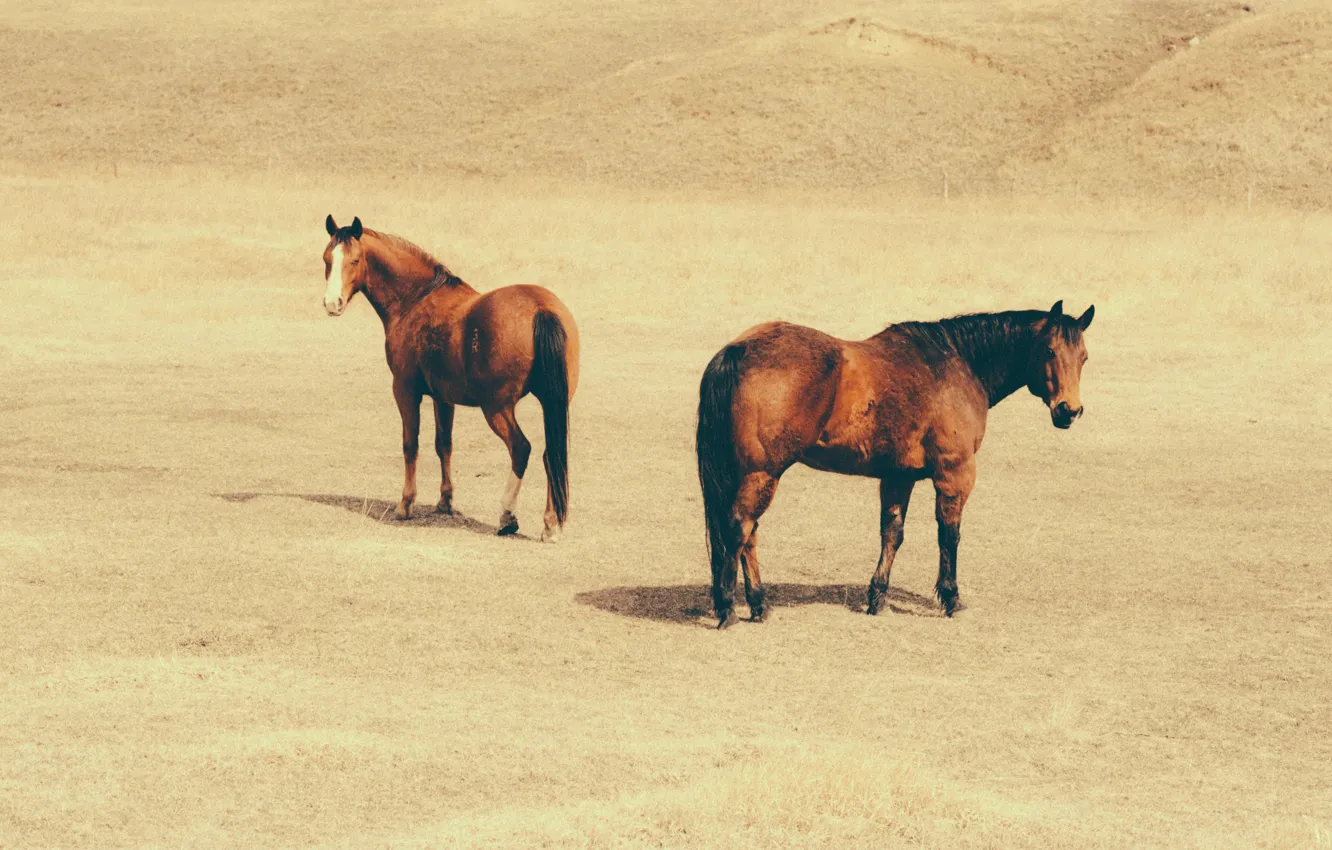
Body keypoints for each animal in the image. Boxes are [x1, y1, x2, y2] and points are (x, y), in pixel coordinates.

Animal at [321, 215, 579, 542]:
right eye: (327, 259)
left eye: (354, 260)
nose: (333, 303)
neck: (417, 299)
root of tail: (541, 308)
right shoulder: (443, 397)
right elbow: (444, 443)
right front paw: (445, 501)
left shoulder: (405, 390)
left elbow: (411, 444)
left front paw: (405, 504)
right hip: (552, 404)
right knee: (551, 455)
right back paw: (550, 524)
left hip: (496, 408)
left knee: (521, 449)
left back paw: (507, 516)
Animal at [696, 301, 1094, 628]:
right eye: (1049, 350)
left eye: (1084, 357)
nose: (1069, 410)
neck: (959, 365)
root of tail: (738, 349)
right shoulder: (955, 474)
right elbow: (949, 535)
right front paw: (951, 599)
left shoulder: (898, 476)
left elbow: (892, 535)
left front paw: (878, 599)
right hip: (762, 473)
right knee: (739, 528)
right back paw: (729, 609)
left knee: (748, 534)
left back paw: (759, 605)